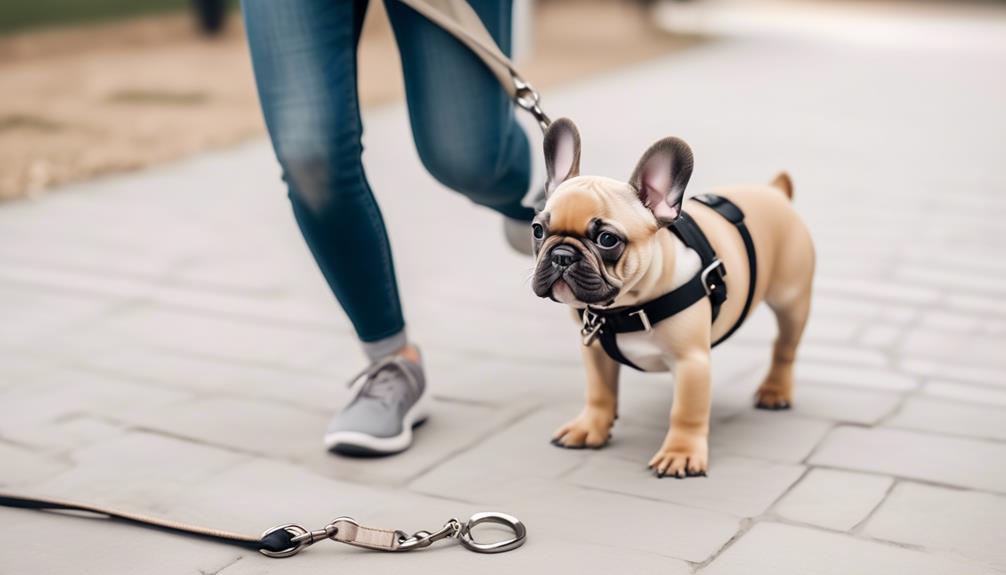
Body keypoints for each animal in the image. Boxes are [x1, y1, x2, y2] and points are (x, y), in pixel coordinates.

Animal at [531, 119, 812, 478]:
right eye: (538, 230)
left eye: (607, 239)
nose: (561, 255)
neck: (626, 307)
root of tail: (775, 192)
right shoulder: (594, 349)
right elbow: (599, 392)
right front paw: (589, 428)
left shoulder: (691, 362)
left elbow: (686, 411)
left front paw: (681, 454)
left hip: (792, 300)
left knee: (785, 346)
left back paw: (775, 390)